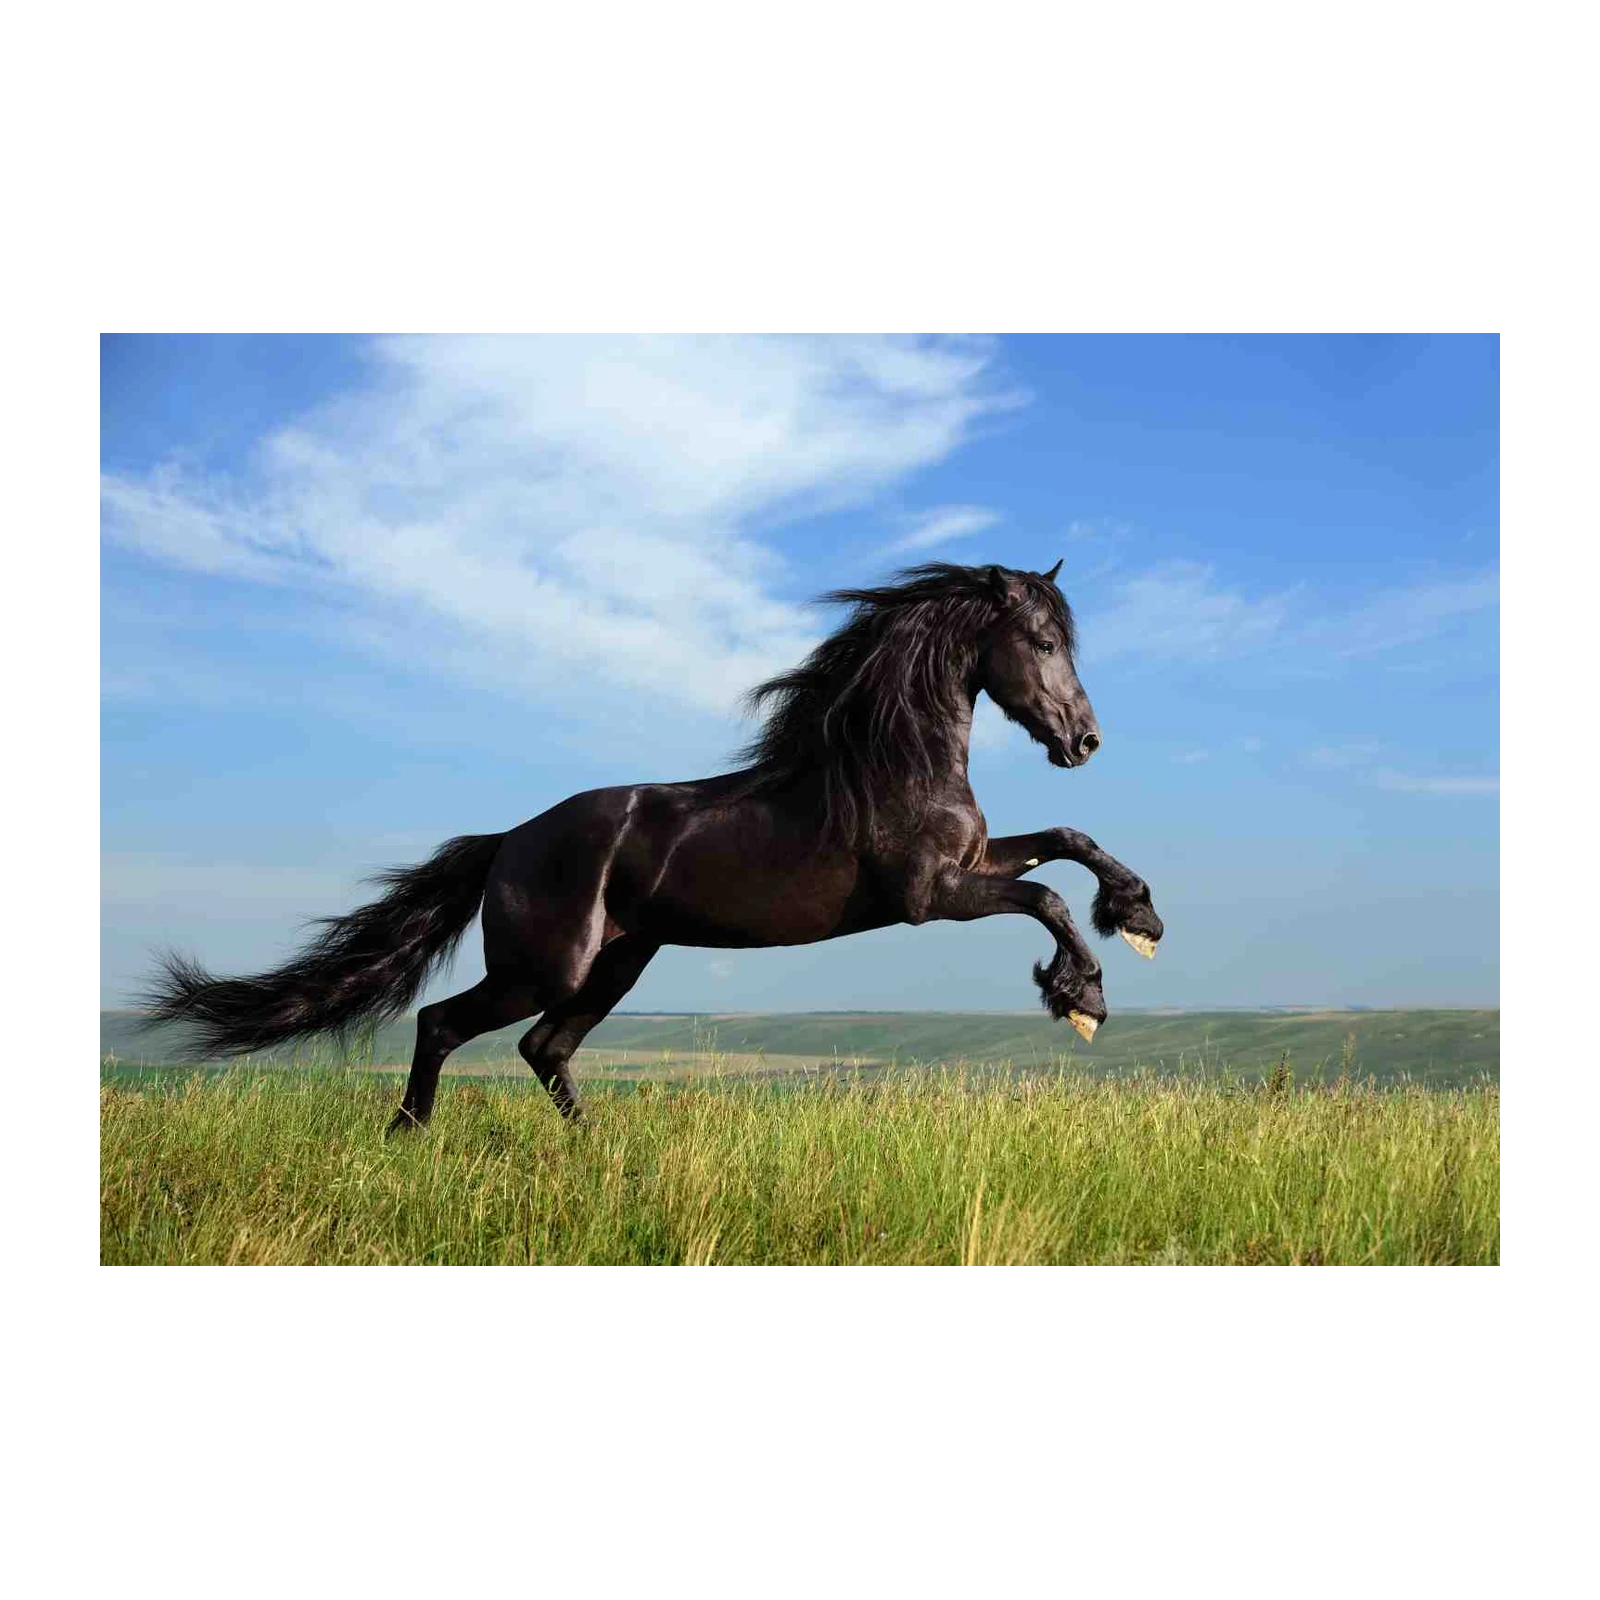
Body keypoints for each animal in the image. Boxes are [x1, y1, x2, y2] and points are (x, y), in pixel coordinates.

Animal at [140, 560, 1165, 1133]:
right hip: (546, 965)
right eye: (1040, 641)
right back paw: (408, 1138)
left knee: (544, 1049)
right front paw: (1082, 997)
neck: (887, 762)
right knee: (445, 1025)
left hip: (619, 963)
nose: (1084, 741)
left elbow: (1067, 841)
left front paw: (1140, 916)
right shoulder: (929, 895)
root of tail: (508, 842)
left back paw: (596, 1150)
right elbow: (1046, 897)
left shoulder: (973, 863)